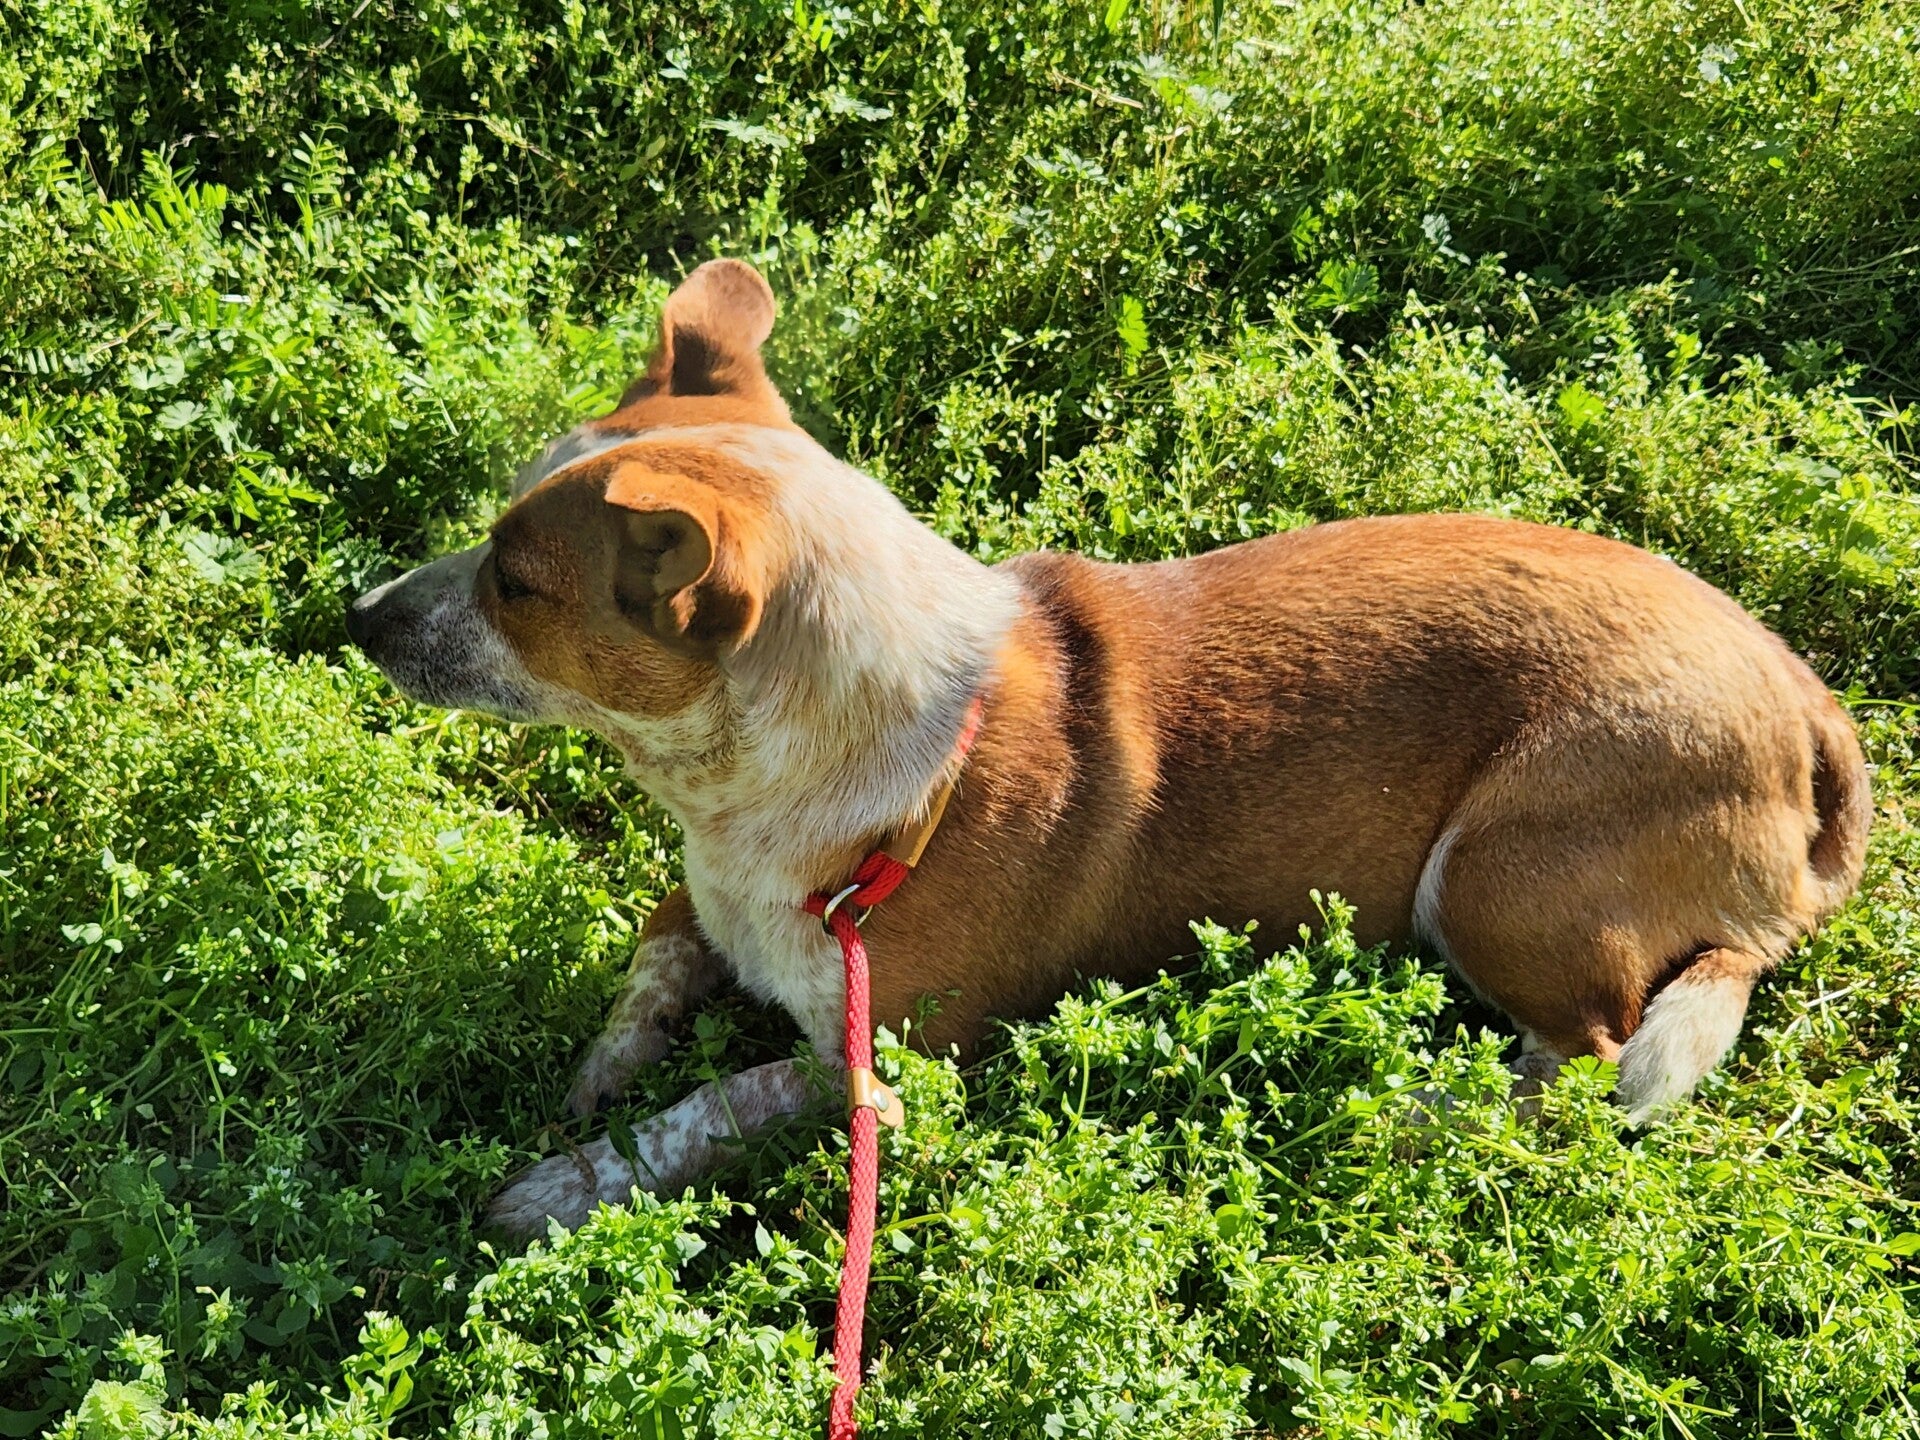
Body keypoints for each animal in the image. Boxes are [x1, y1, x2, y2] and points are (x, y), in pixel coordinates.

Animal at [345, 259, 1871, 1235]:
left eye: (516, 585)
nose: (352, 616)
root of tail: (1812, 712)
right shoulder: (709, 899)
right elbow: (655, 964)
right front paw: (594, 1077)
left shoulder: (888, 1064)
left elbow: (704, 1110)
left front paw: (559, 1186)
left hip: (1498, 872)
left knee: (1583, 1061)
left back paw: (1406, 1107)